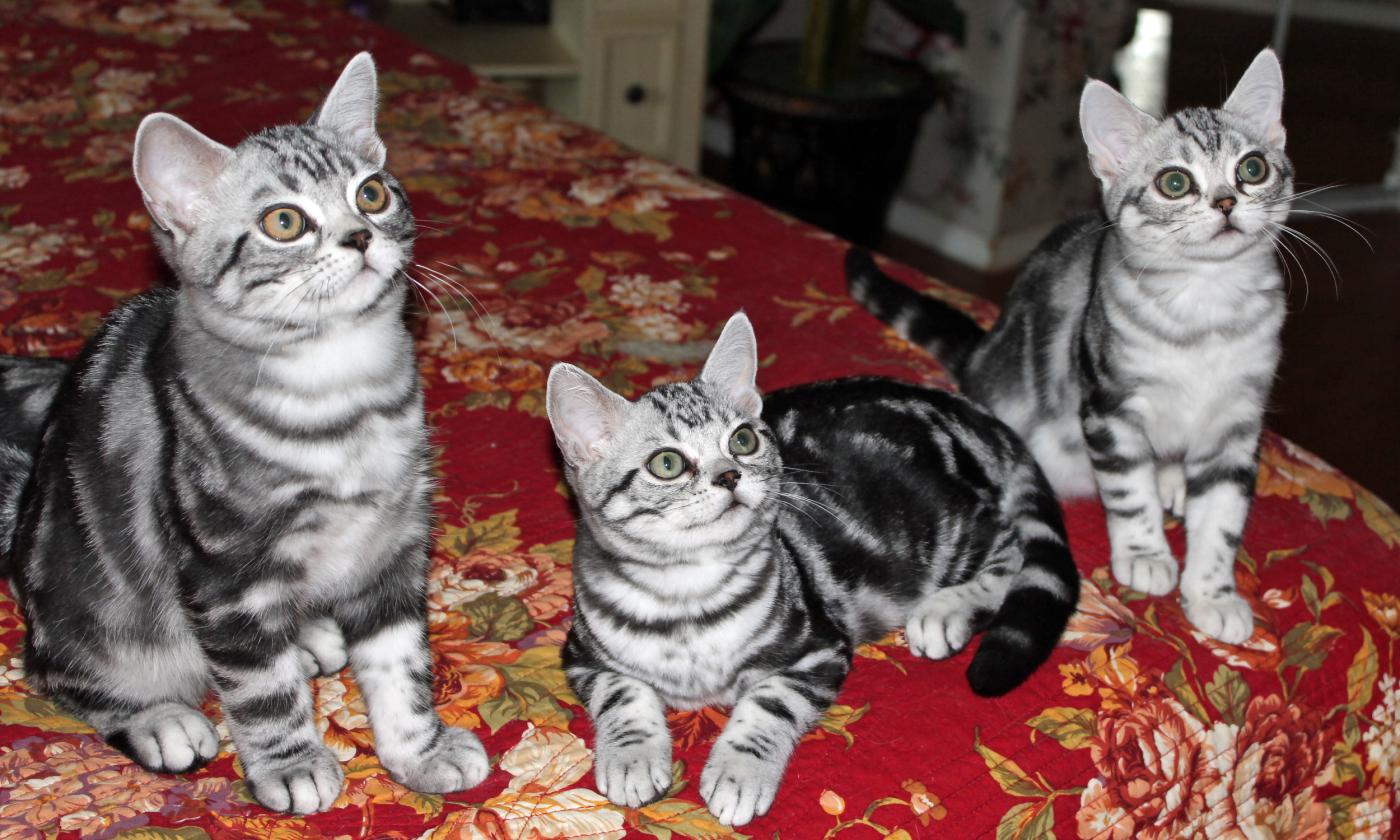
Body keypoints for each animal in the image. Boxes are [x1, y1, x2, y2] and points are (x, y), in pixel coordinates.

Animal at [0, 54, 490, 812]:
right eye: (284, 221)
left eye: (372, 192)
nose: (361, 234)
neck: (345, 396)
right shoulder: (226, 572)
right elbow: (261, 688)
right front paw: (291, 765)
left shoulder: (392, 546)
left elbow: (401, 665)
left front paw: (420, 749)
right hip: (102, 620)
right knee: (56, 673)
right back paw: (161, 719)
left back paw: (311, 635)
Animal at [540, 312, 1075, 823]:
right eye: (667, 464)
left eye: (743, 440)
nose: (730, 475)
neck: (689, 596)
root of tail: (967, 409)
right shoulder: (581, 655)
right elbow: (622, 692)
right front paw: (631, 758)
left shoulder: (818, 648)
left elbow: (769, 703)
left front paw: (739, 772)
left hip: (939, 528)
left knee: (1011, 544)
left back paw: (946, 611)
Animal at [840, 47, 1288, 644]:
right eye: (1175, 182)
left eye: (1252, 169)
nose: (1224, 202)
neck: (1207, 312)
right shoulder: (1107, 403)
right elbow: (1128, 489)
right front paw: (1146, 553)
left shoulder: (1239, 423)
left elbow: (1222, 517)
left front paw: (1214, 593)